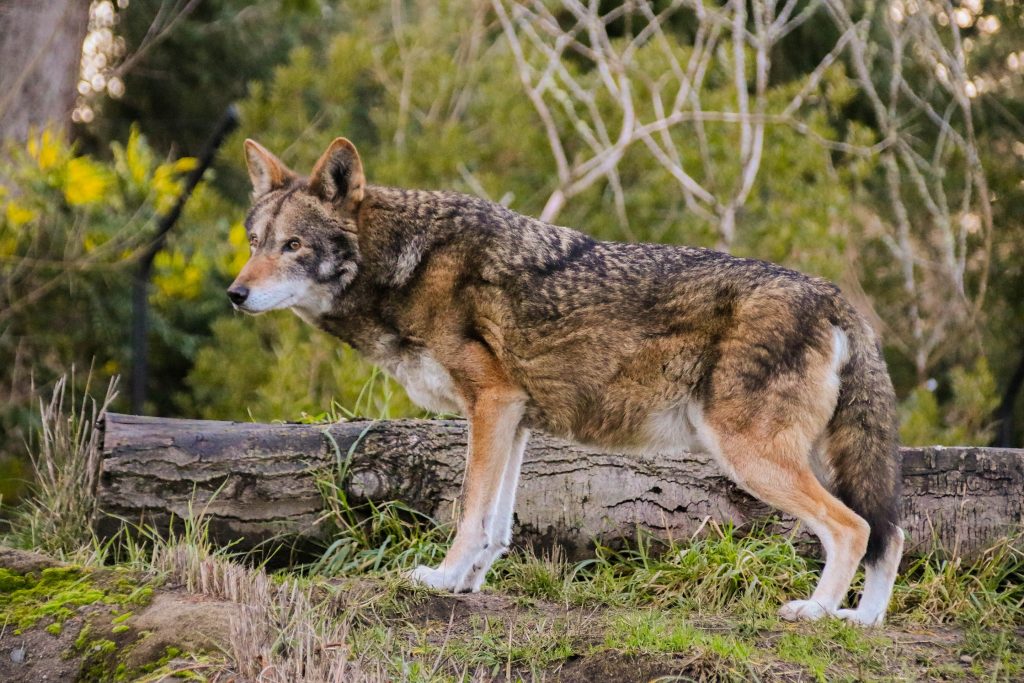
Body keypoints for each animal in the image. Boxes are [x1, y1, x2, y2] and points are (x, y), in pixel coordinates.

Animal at [229, 136, 904, 626]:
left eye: (294, 245)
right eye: (256, 241)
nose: (235, 294)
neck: (407, 267)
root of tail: (832, 294)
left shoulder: (490, 405)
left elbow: (469, 513)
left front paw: (442, 580)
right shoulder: (513, 419)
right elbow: (495, 526)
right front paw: (468, 584)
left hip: (751, 457)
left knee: (854, 528)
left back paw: (815, 612)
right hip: (810, 459)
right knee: (888, 533)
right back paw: (860, 621)